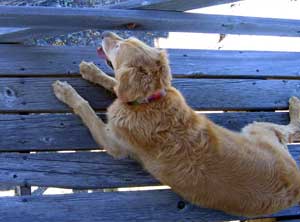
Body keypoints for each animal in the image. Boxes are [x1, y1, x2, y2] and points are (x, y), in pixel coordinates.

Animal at [52, 31, 300, 217]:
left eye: (119, 45)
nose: (104, 33)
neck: (150, 102)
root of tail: (296, 187)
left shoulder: (113, 143)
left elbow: (86, 108)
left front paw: (66, 91)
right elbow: (112, 82)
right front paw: (90, 70)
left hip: (255, 127)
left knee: (291, 132)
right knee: (288, 133)